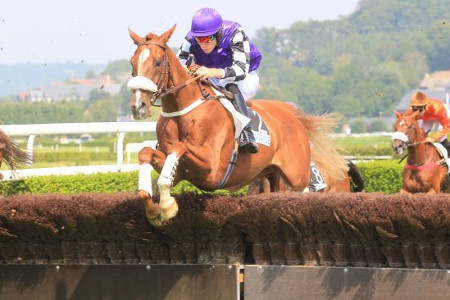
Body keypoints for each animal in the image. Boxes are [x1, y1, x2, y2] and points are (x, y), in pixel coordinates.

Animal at [126, 26, 348, 225]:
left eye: (157, 62)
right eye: (132, 62)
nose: (138, 106)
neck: (184, 110)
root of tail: (292, 115)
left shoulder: (212, 167)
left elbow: (179, 147)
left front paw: (167, 205)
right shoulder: (183, 170)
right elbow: (146, 154)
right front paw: (156, 209)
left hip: (297, 176)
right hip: (271, 175)